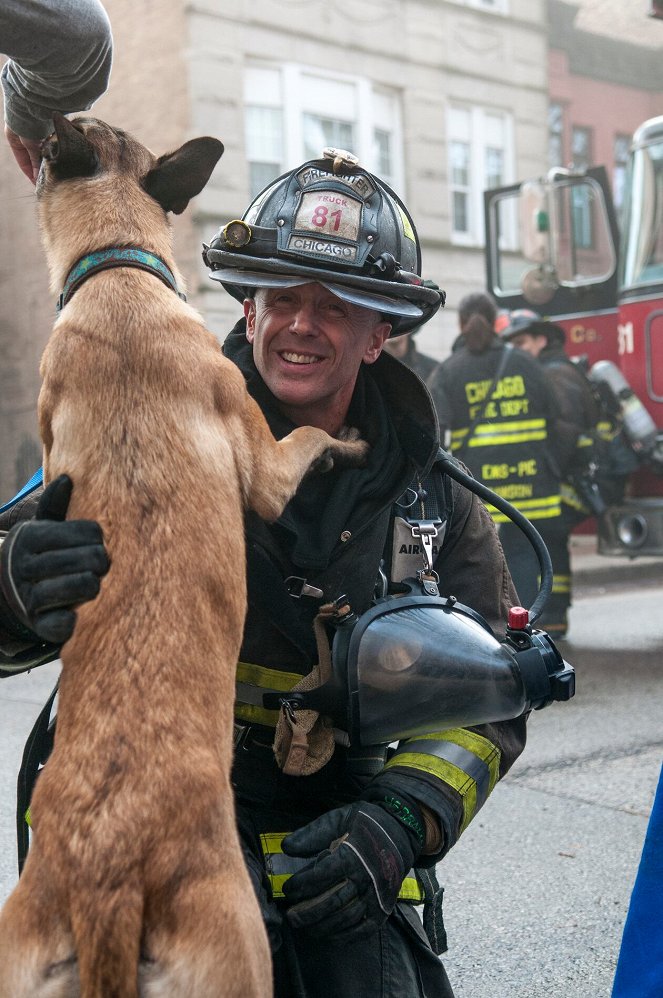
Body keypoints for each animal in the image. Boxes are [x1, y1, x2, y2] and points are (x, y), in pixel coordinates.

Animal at [0, 117, 368, 998]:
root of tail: (109, 875)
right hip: (241, 955)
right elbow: (311, 434)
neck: (116, 274)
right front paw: (348, 439)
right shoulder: (267, 468)